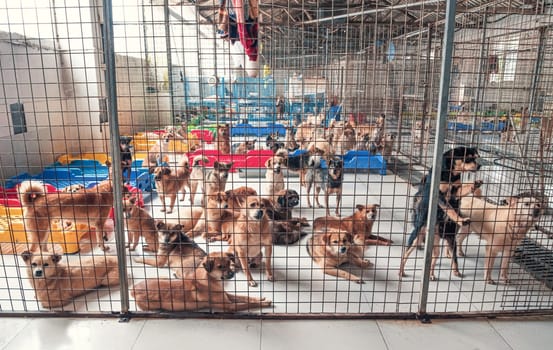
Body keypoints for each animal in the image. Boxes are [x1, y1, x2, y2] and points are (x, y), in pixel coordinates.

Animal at [132, 252, 274, 312]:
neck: (210, 279)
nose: (233, 273)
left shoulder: (226, 295)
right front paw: (264, 303)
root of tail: (134, 289)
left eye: (230, 263)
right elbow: (247, 304)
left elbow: (245, 297)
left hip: (164, 278)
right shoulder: (229, 306)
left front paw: (260, 298)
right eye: (220, 267)